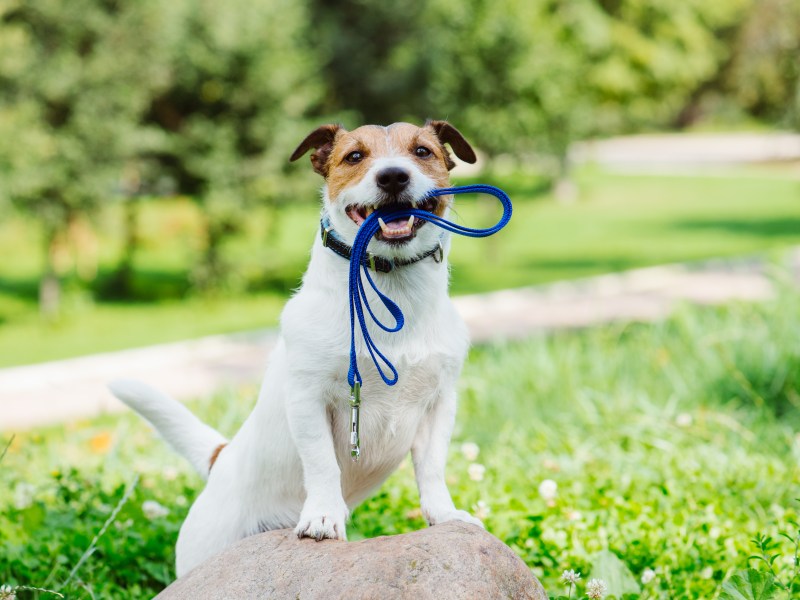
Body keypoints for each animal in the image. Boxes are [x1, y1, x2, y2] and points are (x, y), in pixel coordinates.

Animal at [109, 118, 484, 576]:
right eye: (355, 156)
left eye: (422, 151)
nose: (393, 176)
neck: (391, 290)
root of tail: (223, 459)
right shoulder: (308, 398)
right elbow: (322, 462)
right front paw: (323, 516)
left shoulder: (439, 403)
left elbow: (431, 467)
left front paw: (443, 514)